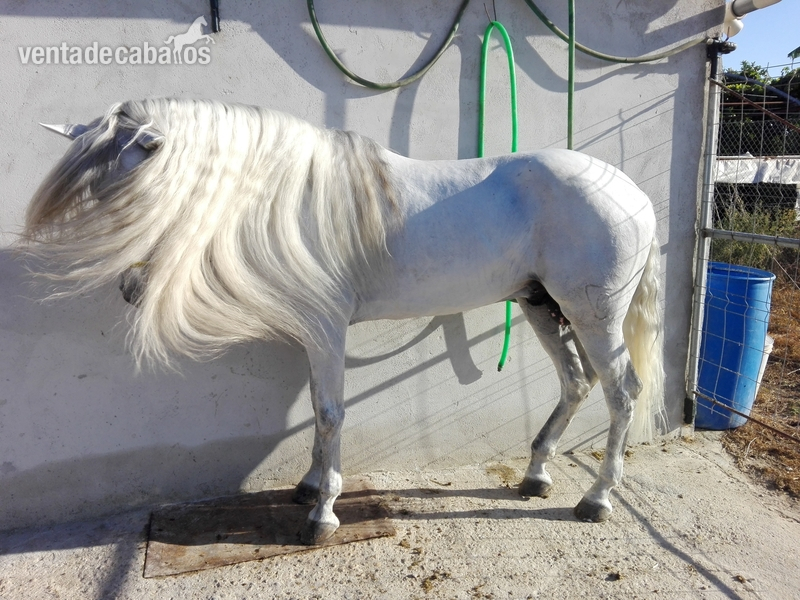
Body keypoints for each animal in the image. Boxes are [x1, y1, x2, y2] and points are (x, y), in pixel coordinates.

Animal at [24, 98, 666, 545]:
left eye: (146, 192)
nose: (130, 286)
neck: (289, 204)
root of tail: (630, 191)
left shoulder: (328, 329)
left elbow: (331, 414)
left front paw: (323, 514)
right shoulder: (315, 335)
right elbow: (316, 408)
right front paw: (308, 487)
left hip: (593, 316)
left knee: (622, 393)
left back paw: (597, 499)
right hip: (540, 306)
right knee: (576, 382)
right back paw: (535, 476)